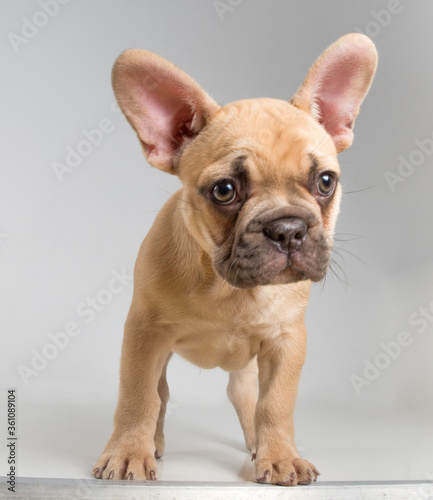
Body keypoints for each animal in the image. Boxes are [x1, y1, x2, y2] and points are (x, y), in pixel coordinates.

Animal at [91, 34, 374, 484]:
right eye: (224, 190)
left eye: (325, 182)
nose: (288, 228)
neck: (227, 287)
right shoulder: (144, 334)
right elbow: (139, 396)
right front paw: (128, 452)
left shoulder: (287, 341)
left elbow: (275, 403)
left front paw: (281, 456)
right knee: (161, 395)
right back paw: (154, 442)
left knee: (245, 396)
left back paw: (260, 445)